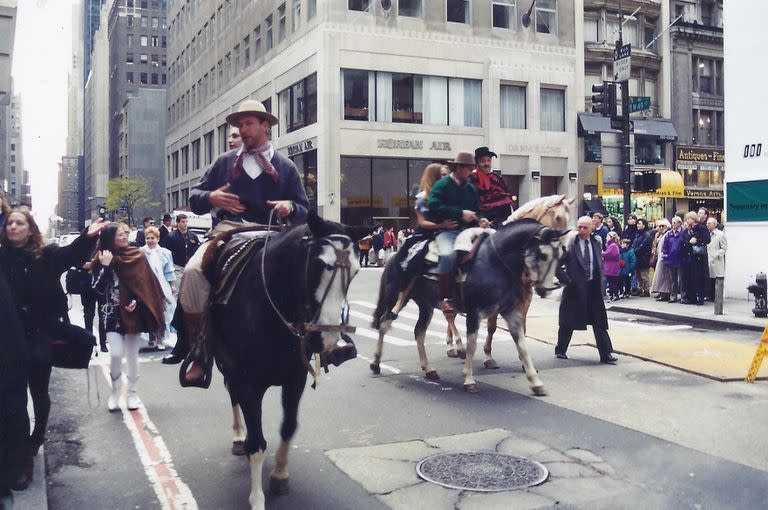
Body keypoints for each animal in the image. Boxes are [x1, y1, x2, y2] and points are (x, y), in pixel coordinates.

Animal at [210, 212, 364, 510]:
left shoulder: (296, 379)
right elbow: (257, 445)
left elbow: (288, 427)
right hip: (225, 365)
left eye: (356, 271)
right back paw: (239, 435)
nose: (327, 340)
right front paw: (257, 499)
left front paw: (279, 475)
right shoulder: (248, 384)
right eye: (318, 264)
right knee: (230, 392)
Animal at [368, 219, 568, 394]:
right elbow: (472, 345)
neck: (496, 263)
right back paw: (375, 363)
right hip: (397, 297)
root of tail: (395, 256)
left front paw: (535, 382)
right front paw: (469, 380)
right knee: (385, 324)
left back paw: (429, 369)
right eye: (543, 255)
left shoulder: (512, 311)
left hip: (426, 305)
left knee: (419, 332)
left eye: (561, 255)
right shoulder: (474, 312)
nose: (549, 288)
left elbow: (522, 345)